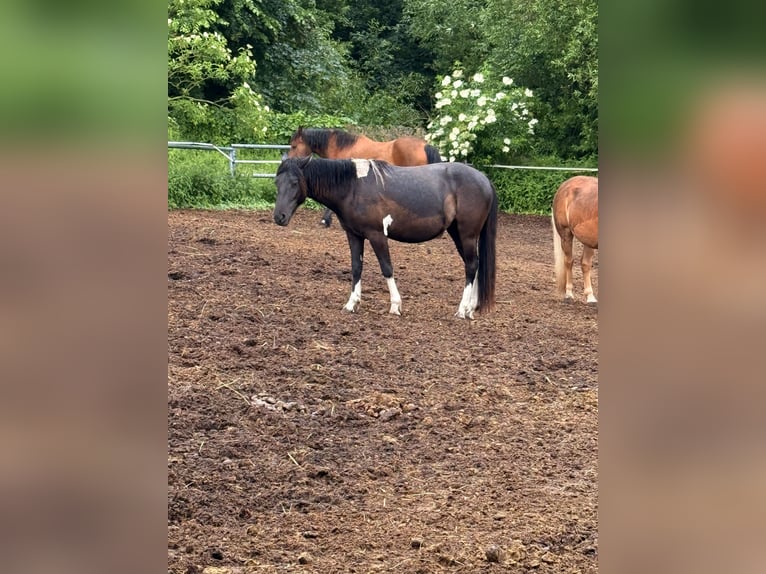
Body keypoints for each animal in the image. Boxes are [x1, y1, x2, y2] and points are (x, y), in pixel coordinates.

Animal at [273, 156, 497, 319]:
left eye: (294, 182)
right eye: (277, 182)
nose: (279, 217)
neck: (353, 187)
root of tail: (484, 179)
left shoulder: (377, 235)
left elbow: (387, 268)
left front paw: (395, 306)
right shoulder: (354, 235)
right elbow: (356, 267)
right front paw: (351, 303)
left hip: (467, 235)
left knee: (471, 266)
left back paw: (462, 310)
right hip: (458, 234)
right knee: (474, 265)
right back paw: (470, 308)